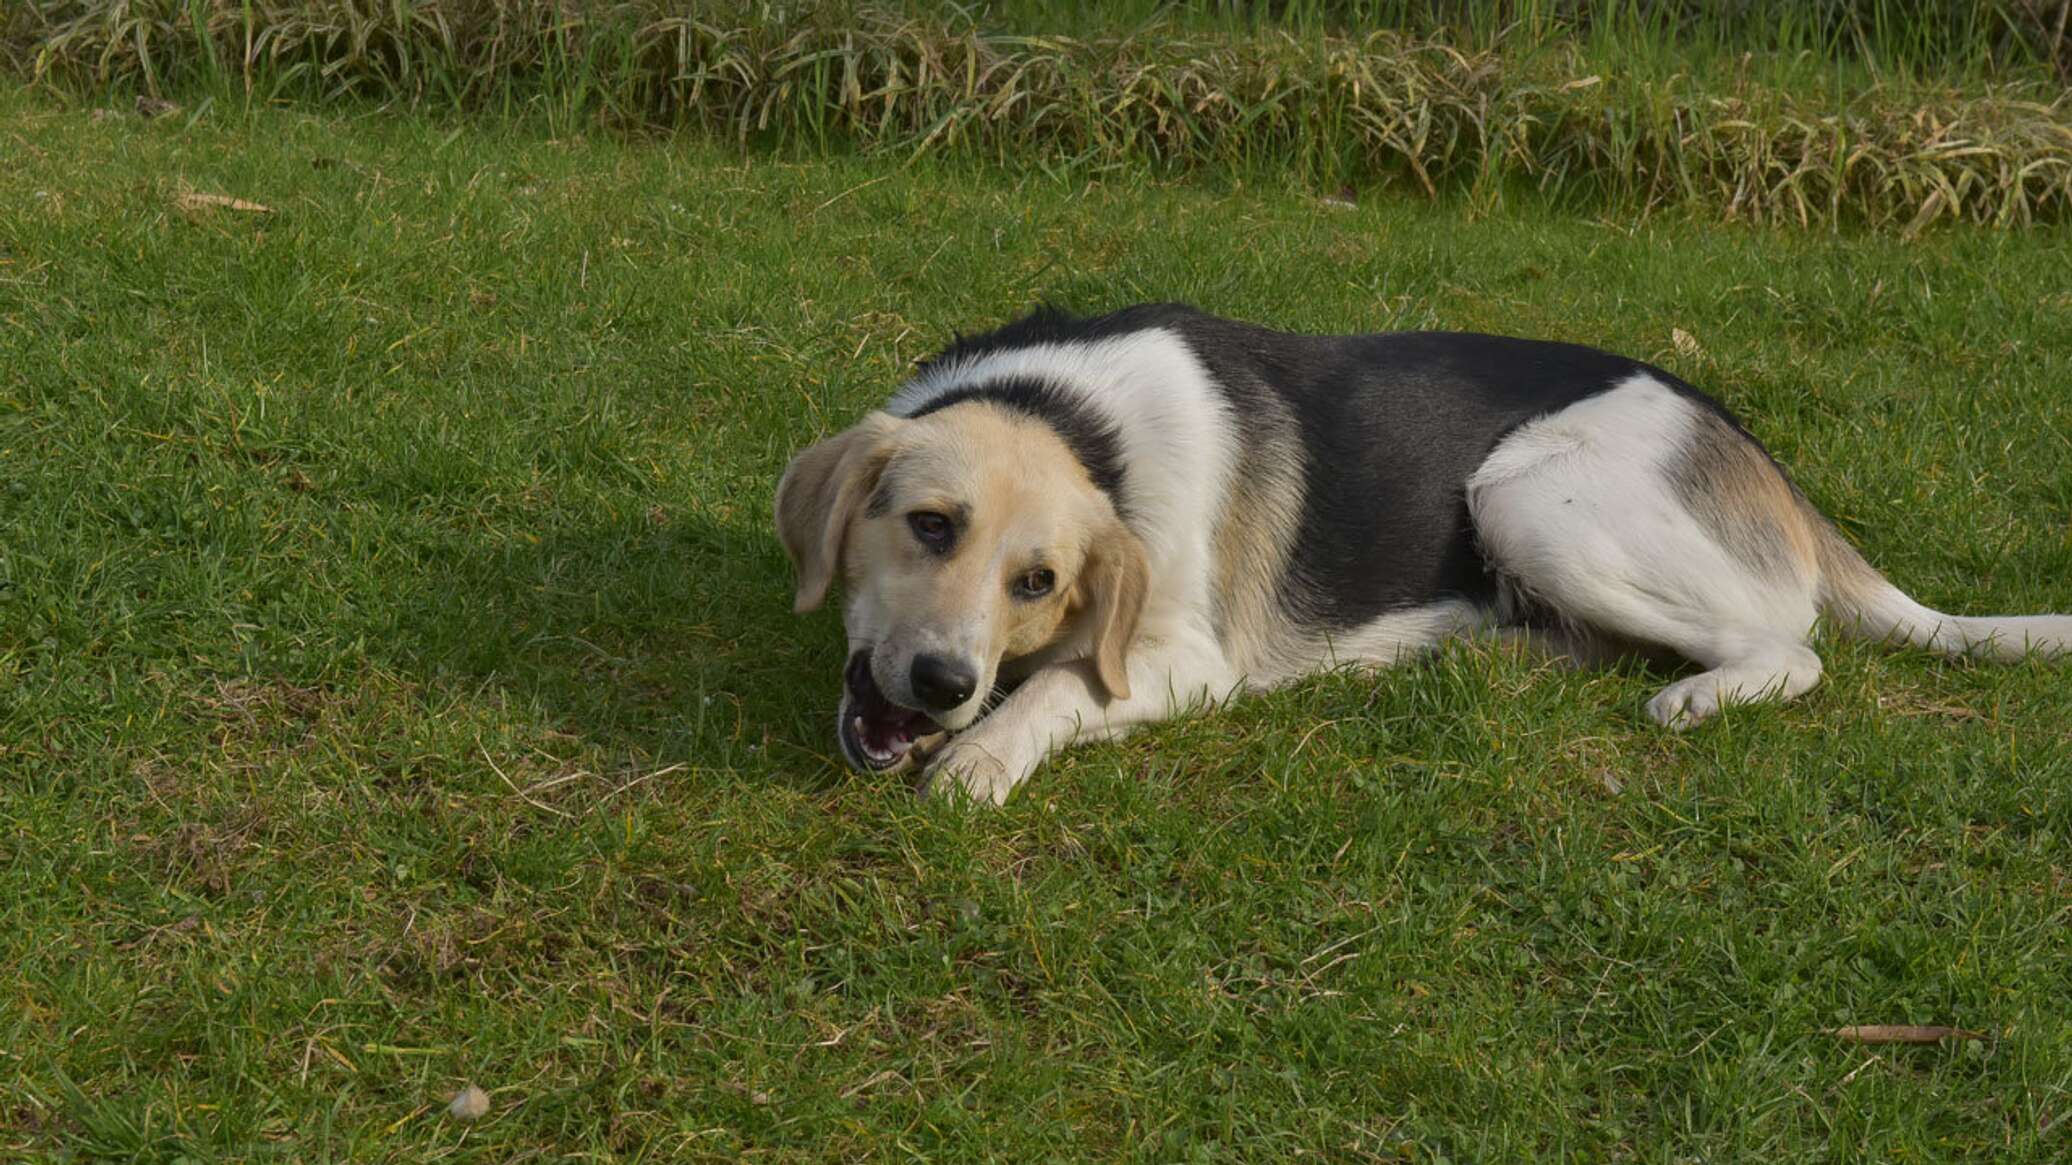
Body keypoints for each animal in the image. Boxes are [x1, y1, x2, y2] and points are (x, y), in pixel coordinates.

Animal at [779, 304, 2072, 804]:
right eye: (928, 524)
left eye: (1037, 582)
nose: (941, 683)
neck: (1069, 419)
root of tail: (1761, 458)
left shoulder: (1188, 662)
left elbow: (1052, 690)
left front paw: (985, 756)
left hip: (1528, 496)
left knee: (1789, 649)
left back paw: (1698, 698)